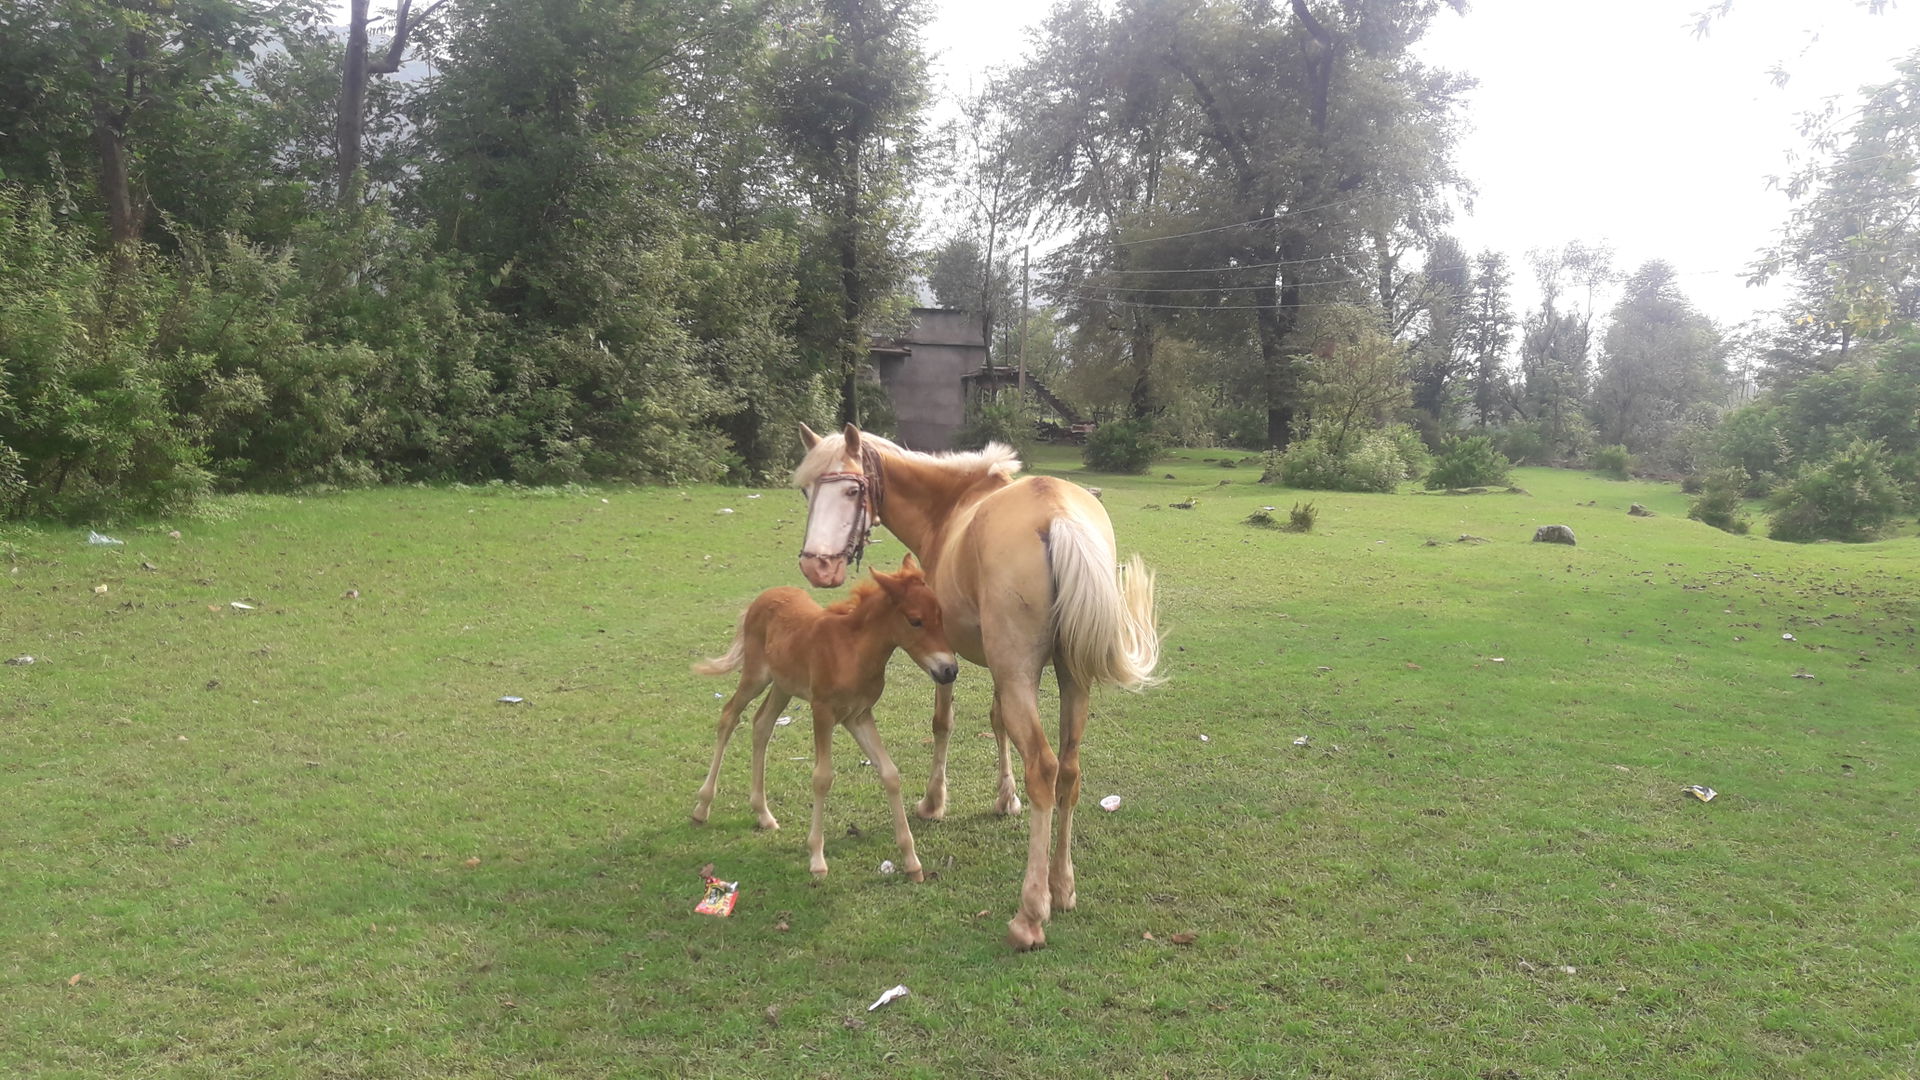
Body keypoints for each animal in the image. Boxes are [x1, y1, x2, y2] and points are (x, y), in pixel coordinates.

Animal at [691, 556, 959, 883]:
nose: (949, 670)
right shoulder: (823, 712)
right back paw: (702, 807)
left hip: (783, 686)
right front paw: (817, 860)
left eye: (941, 616)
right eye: (915, 620)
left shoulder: (859, 716)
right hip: (756, 676)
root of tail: (762, 597)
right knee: (729, 716)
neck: (852, 651)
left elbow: (890, 773)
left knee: (761, 725)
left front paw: (912, 862)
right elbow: (822, 778)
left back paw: (763, 814)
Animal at [792, 422, 1160, 950]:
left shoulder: (948, 657)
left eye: (852, 490)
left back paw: (1031, 913)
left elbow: (943, 722)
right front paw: (1005, 799)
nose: (816, 567)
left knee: (1044, 768)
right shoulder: (998, 668)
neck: (948, 509)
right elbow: (997, 721)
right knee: (1069, 771)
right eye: (807, 491)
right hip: (1070, 677)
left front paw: (934, 802)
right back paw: (1062, 886)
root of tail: (1057, 515)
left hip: (1021, 672)